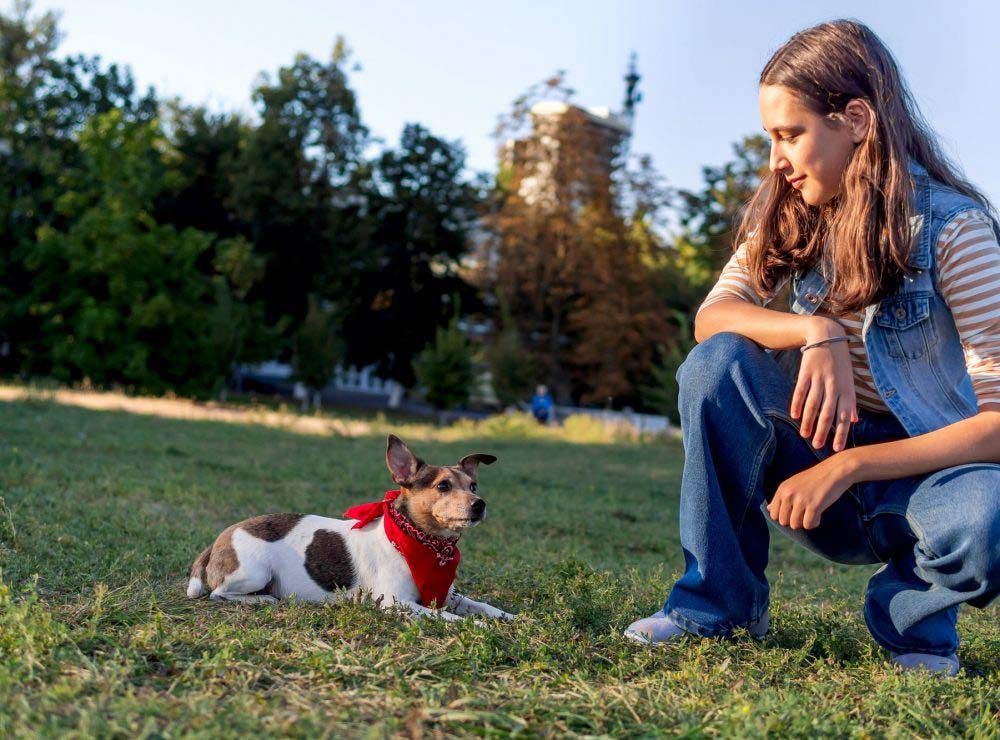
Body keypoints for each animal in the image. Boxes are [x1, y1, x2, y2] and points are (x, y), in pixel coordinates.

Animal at [185, 430, 516, 620]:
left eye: (473, 486)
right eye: (443, 486)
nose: (480, 504)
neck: (422, 543)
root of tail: (220, 539)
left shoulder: (449, 595)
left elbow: (481, 606)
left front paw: (506, 616)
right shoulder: (396, 603)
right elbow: (448, 618)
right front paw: (473, 625)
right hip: (255, 572)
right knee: (218, 593)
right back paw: (263, 599)